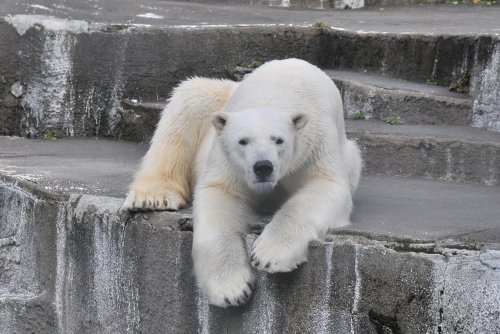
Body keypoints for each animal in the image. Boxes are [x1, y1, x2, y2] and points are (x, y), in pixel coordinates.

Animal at [123, 59, 362, 308]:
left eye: (279, 140)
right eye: (243, 141)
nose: (263, 167)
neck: (277, 91)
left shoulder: (316, 143)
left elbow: (325, 186)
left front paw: (269, 256)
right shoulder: (227, 154)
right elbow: (220, 194)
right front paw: (233, 290)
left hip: (352, 156)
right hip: (213, 104)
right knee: (186, 106)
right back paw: (151, 197)